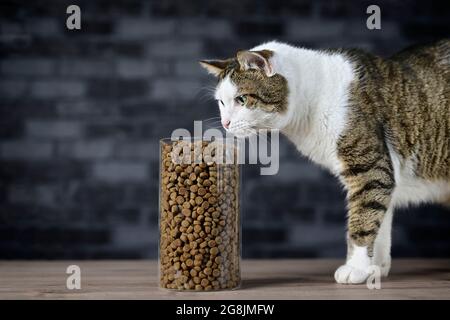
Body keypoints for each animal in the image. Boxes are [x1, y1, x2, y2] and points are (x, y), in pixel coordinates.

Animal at [200, 39, 450, 282]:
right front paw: (374, 268)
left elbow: (363, 219)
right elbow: (380, 220)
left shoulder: (370, 170)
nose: (225, 124)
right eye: (221, 102)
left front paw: (356, 267)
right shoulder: (385, 175)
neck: (314, 98)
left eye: (241, 99)